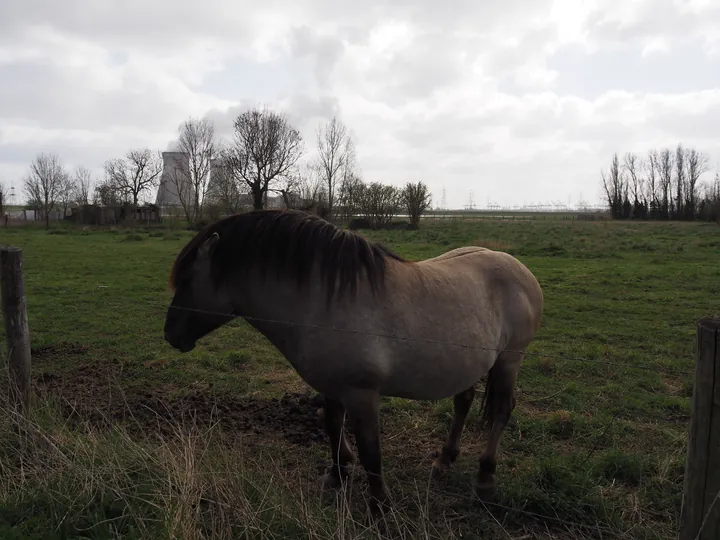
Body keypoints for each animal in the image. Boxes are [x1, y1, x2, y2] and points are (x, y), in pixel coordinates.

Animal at [163, 208, 544, 516]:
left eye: (187, 279)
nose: (170, 335)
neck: (326, 300)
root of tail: (520, 269)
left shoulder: (363, 395)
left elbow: (370, 451)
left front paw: (380, 505)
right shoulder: (331, 386)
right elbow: (332, 426)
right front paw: (337, 474)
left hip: (509, 360)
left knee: (501, 410)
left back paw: (485, 479)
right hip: (470, 362)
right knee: (463, 402)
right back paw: (444, 459)